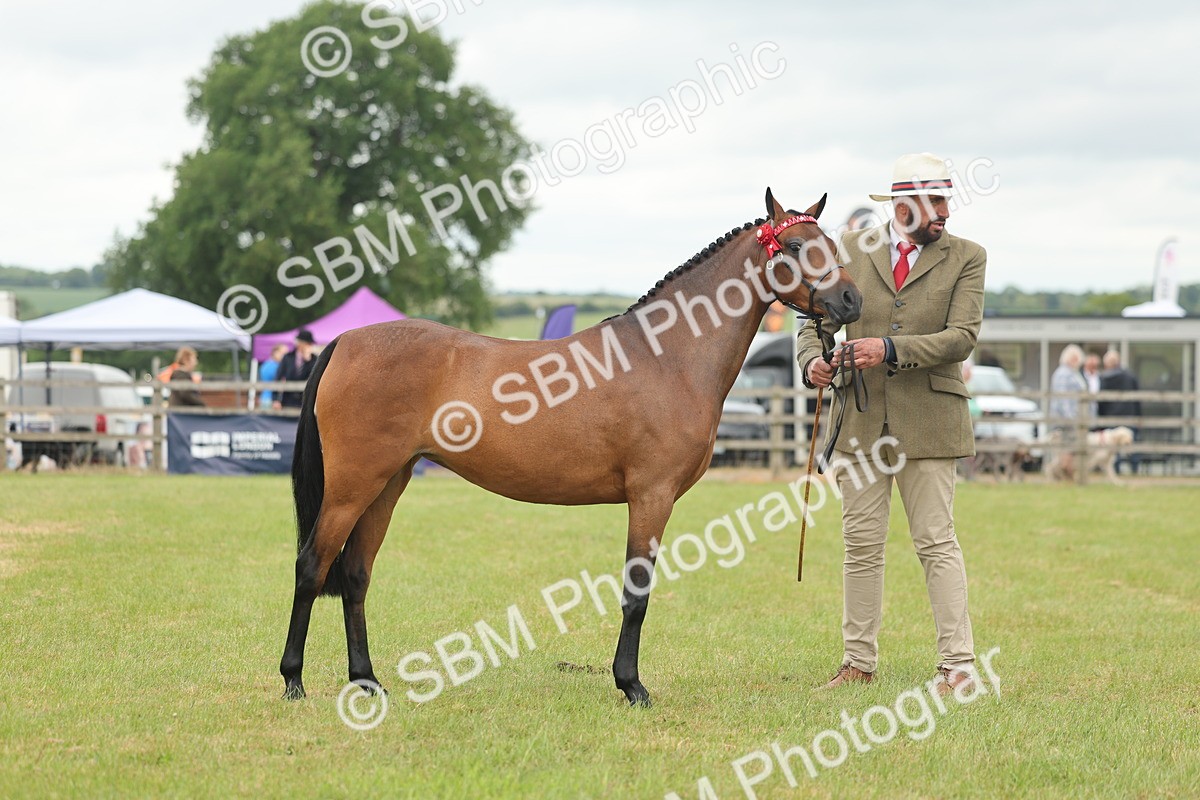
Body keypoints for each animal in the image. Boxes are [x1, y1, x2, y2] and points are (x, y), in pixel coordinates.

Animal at [279, 189, 864, 706]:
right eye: (793, 246)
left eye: (831, 243)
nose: (851, 301)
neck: (667, 357)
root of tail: (346, 341)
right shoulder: (651, 496)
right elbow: (636, 593)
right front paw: (631, 686)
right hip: (352, 487)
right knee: (312, 566)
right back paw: (293, 682)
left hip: (387, 483)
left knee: (356, 574)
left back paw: (367, 682)